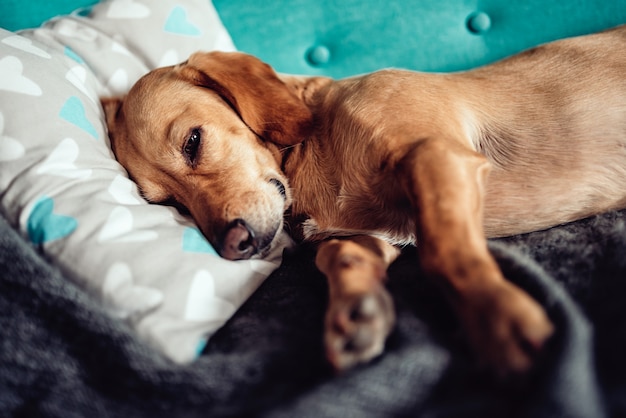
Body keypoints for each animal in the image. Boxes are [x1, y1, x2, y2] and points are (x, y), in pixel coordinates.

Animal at [101, 25, 624, 376]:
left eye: (193, 142)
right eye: (170, 203)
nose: (233, 245)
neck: (313, 145)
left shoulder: (437, 155)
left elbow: (446, 253)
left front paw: (499, 319)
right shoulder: (371, 235)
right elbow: (338, 258)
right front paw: (356, 310)